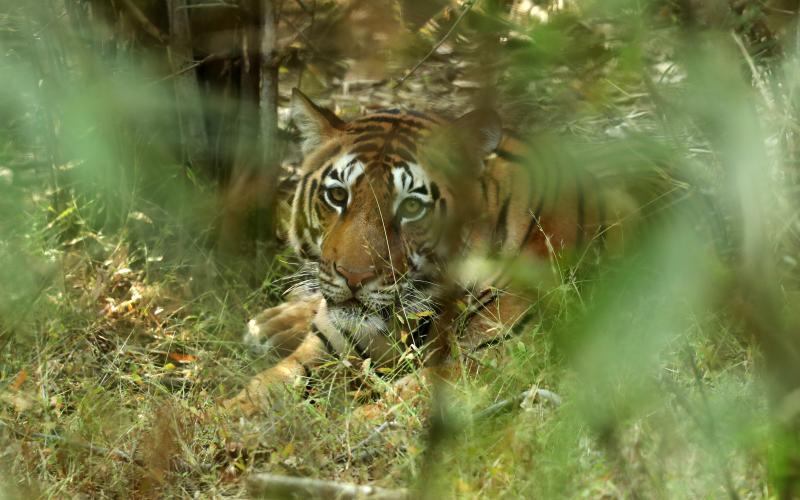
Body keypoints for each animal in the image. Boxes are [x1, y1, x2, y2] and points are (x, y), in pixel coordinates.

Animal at [223, 89, 644, 414]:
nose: (354, 277)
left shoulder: (486, 359)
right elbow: (260, 390)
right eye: (338, 196)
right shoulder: (330, 345)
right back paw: (272, 323)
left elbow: (392, 407)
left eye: (411, 206)